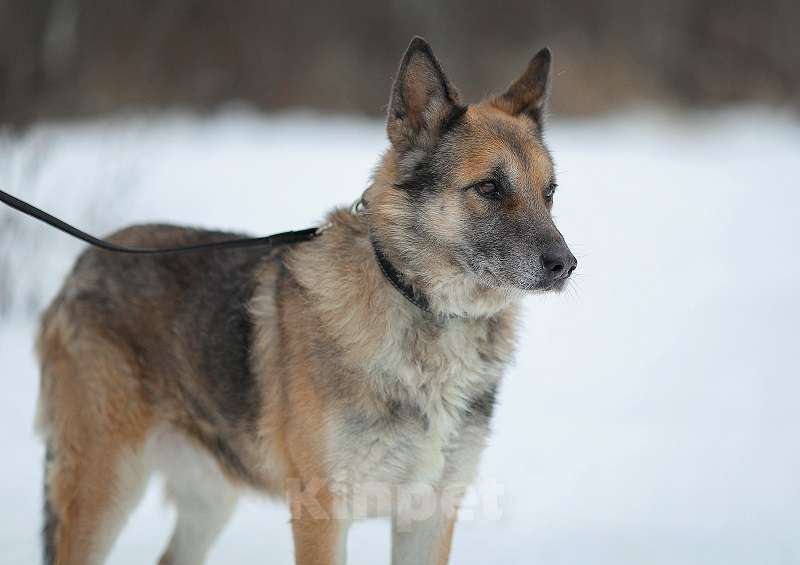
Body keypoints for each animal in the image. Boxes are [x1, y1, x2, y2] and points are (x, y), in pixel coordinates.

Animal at [36, 37, 576, 560]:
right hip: (107, 488)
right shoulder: (322, 514)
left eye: (548, 193)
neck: (421, 309)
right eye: (489, 187)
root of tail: (82, 264)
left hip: (210, 498)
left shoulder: (429, 514)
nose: (566, 265)